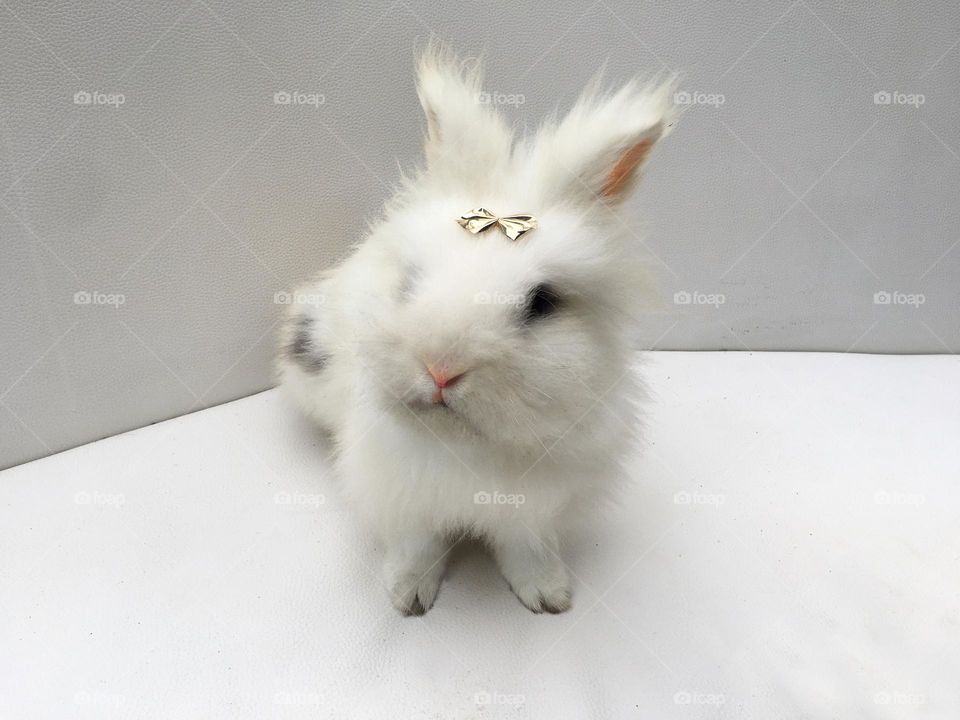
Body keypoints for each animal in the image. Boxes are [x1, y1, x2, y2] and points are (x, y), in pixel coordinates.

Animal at [277, 45, 674, 616]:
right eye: (411, 280)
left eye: (542, 302)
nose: (441, 370)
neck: (464, 446)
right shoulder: (401, 494)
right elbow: (417, 547)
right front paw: (408, 599)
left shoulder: (537, 509)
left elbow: (526, 549)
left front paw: (548, 597)